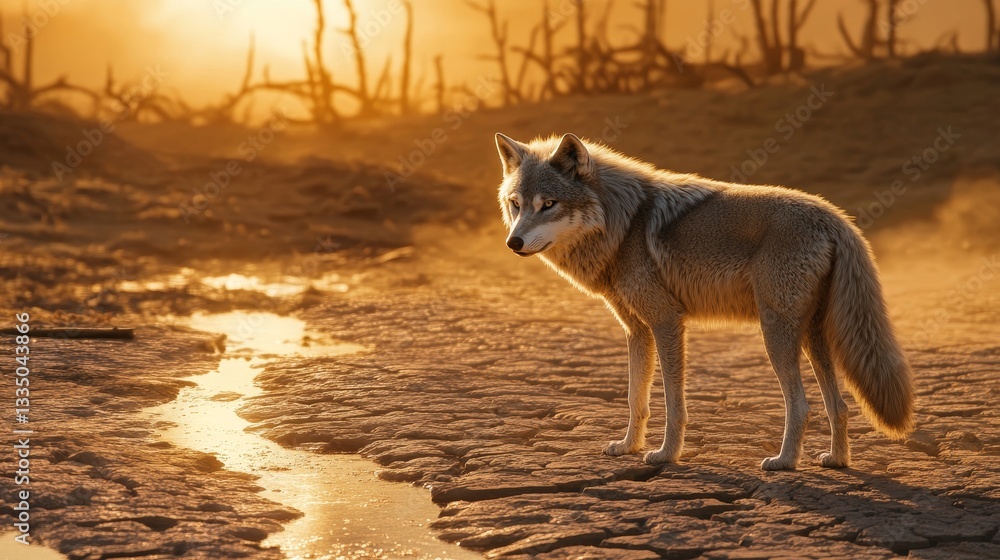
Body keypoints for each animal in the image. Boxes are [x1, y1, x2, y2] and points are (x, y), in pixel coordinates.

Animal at [494, 132, 914, 470]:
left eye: (549, 204)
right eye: (516, 204)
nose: (513, 243)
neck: (623, 225)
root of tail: (837, 217)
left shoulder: (667, 322)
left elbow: (673, 404)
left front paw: (666, 455)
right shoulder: (637, 331)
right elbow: (636, 399)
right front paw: (629, 447)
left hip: (776, 334)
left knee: (802, 406)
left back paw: (784, 462)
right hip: (812, 337)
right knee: (839, 405)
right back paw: (838, 460)